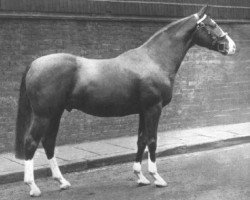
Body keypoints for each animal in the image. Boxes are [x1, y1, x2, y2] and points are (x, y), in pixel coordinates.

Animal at [14, 5, 235, 197]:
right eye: (212, 24)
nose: (232, 46)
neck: (154, 59)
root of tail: (35, 63)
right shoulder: (153, 108)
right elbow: (152, 140)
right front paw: (157, 178)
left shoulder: (143, 111)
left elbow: (141, 140)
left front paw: (140, 177)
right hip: (44, 115)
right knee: (31, 142)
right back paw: (33, 187)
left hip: (56, 113)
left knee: (48, 142)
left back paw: (62, 182)